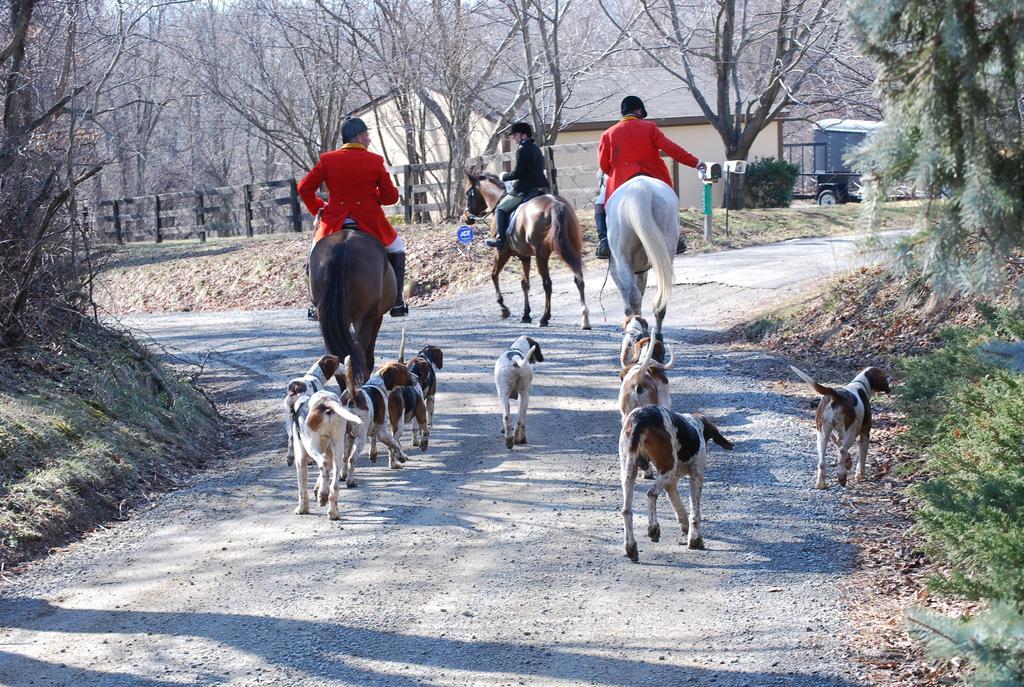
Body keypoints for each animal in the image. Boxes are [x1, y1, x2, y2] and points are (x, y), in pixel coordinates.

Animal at [286, 389, 362, 518]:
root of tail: (325, 400)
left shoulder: (300, 460)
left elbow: (302, 489)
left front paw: (302, 509)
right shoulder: (329, 454)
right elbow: (323, 476)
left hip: (311, 446)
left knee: (323, 463)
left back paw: (323, 494)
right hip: (338, 449)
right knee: (334, 485)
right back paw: (332, 511)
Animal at [466, 173, 593, 331]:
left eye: (468, 193)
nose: (466, 218)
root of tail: (556, 205)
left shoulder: (501, 253)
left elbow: (494, 275)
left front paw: (504, 308)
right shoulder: (525, 257)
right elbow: (525, 284)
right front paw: (526, 315)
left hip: (541, 255)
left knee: (547, 284)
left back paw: (544, 318)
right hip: (573, 249)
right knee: (579, 279)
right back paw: (585, 319)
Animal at [602, 175, 675, 341]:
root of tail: (642, 190)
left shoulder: (616, 270)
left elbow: (628, 299)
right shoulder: (642, 272)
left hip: (622, 259)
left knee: (633, 297)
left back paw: (637, 330)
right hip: (665, 258)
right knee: (659, 298)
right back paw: (657, 335)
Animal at [618, 405, 733, 561]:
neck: (697, 424)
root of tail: (640, 417)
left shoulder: (671, 482)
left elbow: (679, 506)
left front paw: (685, 526)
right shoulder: (696, 476)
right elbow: (695, 514)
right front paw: (695, 540)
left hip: (629, 471)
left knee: (626, 511)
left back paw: (631, 547)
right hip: (668, 469)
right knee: (651, 494)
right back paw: (653, 528)